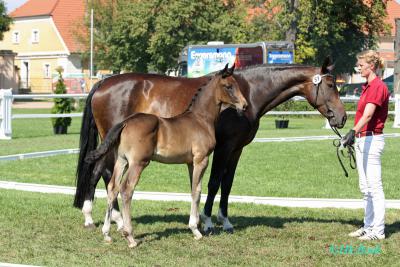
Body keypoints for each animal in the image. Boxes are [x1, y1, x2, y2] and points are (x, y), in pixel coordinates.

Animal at [86, 65, 247, 249]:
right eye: (229, 86)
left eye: (237, 84)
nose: (244, 105)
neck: (200, 119)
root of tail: (125, 123)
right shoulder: (201, 160)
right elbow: (197, 190)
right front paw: (196, 230)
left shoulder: (190, 163)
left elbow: (194, 189)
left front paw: (196, 225)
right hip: (138, 163)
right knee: (126, 189)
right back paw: (130, 236)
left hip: (122, 161)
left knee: (113, 187)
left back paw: (106, 234)